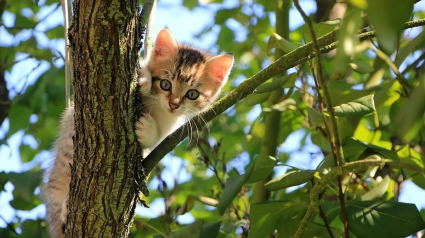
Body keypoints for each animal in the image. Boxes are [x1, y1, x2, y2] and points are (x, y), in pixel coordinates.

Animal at [41, 28, 234, 238]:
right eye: (165, 84)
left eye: (192, 94)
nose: (173, 104)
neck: (157, 106)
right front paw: (143, 77)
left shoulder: (168, 127)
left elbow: (155, 140)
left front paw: (147, 129)